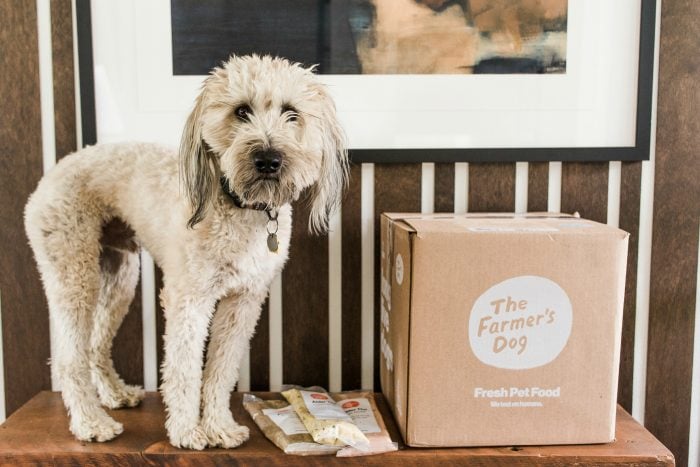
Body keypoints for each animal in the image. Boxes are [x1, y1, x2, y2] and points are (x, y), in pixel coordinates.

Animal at [23, 54, 348, 450]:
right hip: (74, 274)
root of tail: (52, 173)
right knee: (69, 359)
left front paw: (220, 426)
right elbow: (184, 370)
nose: (268, 159)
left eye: (292, 113)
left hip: (119, 277)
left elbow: (221, 371)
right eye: (241, 111)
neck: (238, 206)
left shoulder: (243, 302)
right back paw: (90, 423)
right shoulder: (189, 300)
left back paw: (116, 394)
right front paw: (186, 431)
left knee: (96, 345)